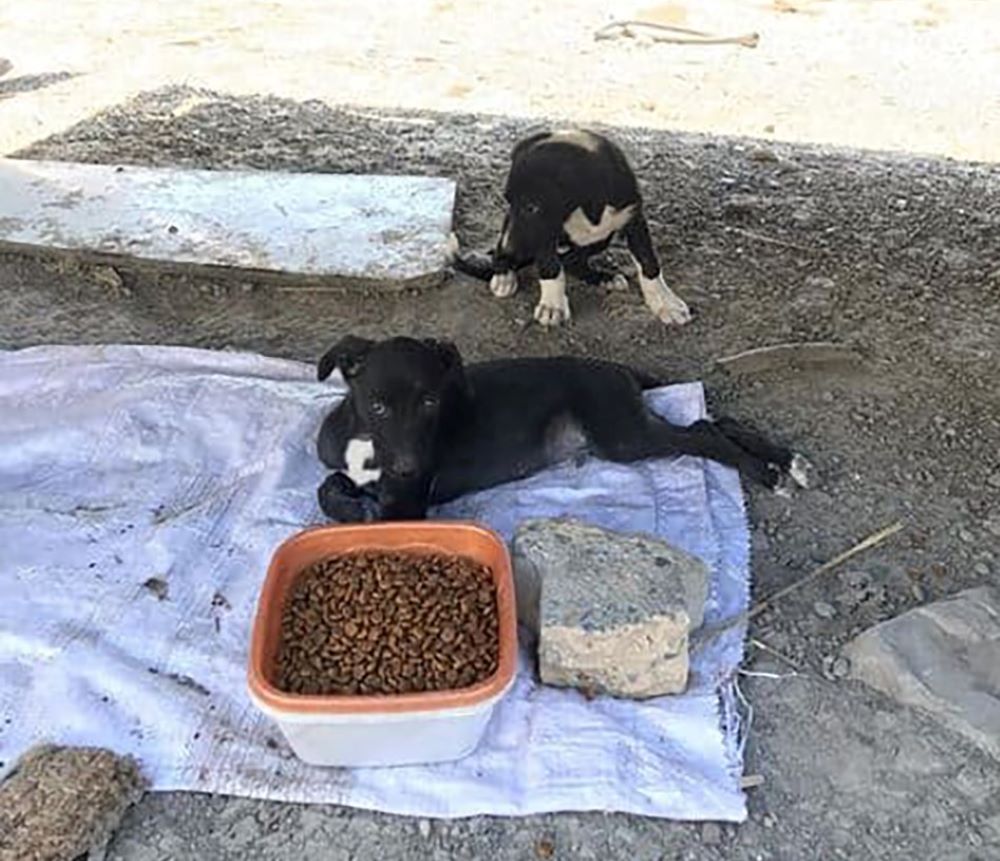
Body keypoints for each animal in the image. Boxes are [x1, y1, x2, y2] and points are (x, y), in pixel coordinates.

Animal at [316, 334, 808, 524]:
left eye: (431, 403)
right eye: (377, 406)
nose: (409, 467)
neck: (366, 446)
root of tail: (617, 369)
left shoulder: (406, 505)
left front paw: (357, 512)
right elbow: (326, 484)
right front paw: (347, 501)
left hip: (622, 434)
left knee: (704, 433)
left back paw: (770, 473)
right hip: (631, 425)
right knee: (712, 420)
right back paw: (786, 461)